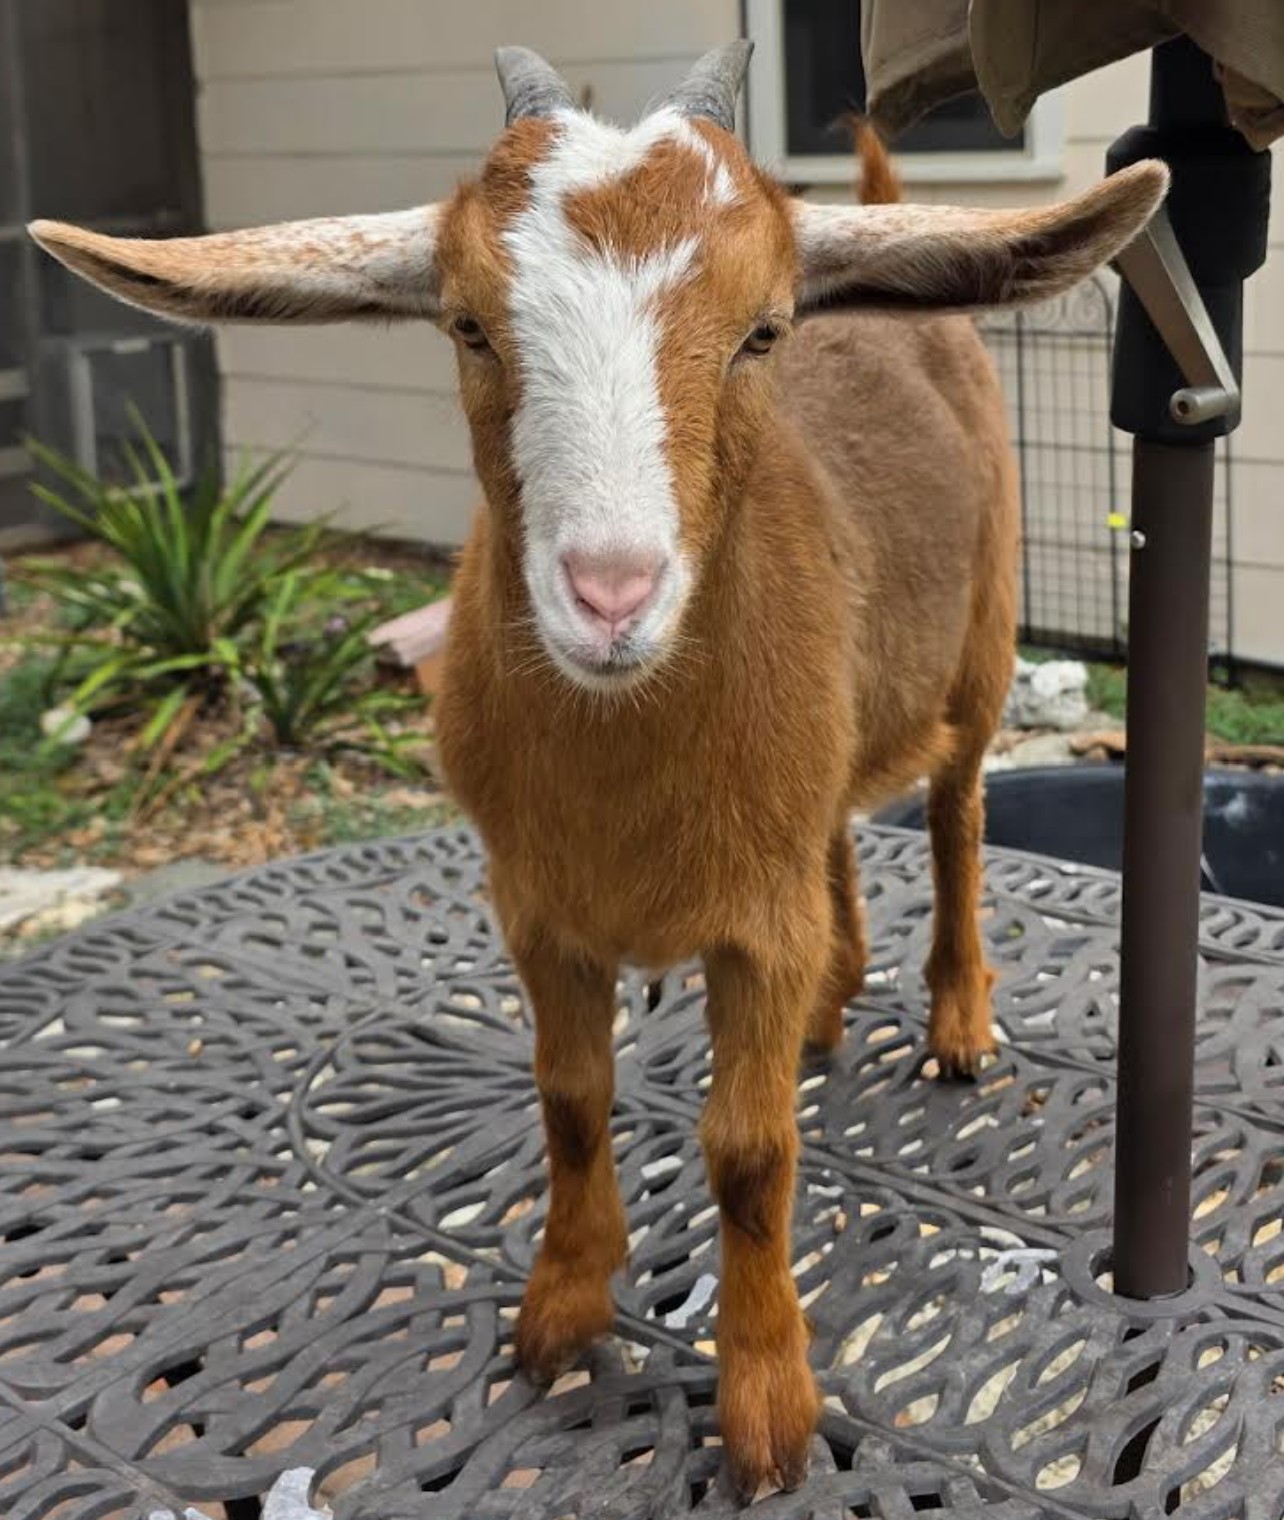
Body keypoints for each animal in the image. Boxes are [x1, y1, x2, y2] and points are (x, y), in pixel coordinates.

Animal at [29, 43, 1166, 1499]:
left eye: (762, 330)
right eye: (466, 326)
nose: (612, 595)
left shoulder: (751, 921)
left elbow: (749, 1152)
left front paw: (767, 1405)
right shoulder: (536, 905)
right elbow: (570, 1101)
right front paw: (561, 1311)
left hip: (986, 637)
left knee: (959, 809)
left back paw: (958, 1022)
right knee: (843, 830)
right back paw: (832, 1000)